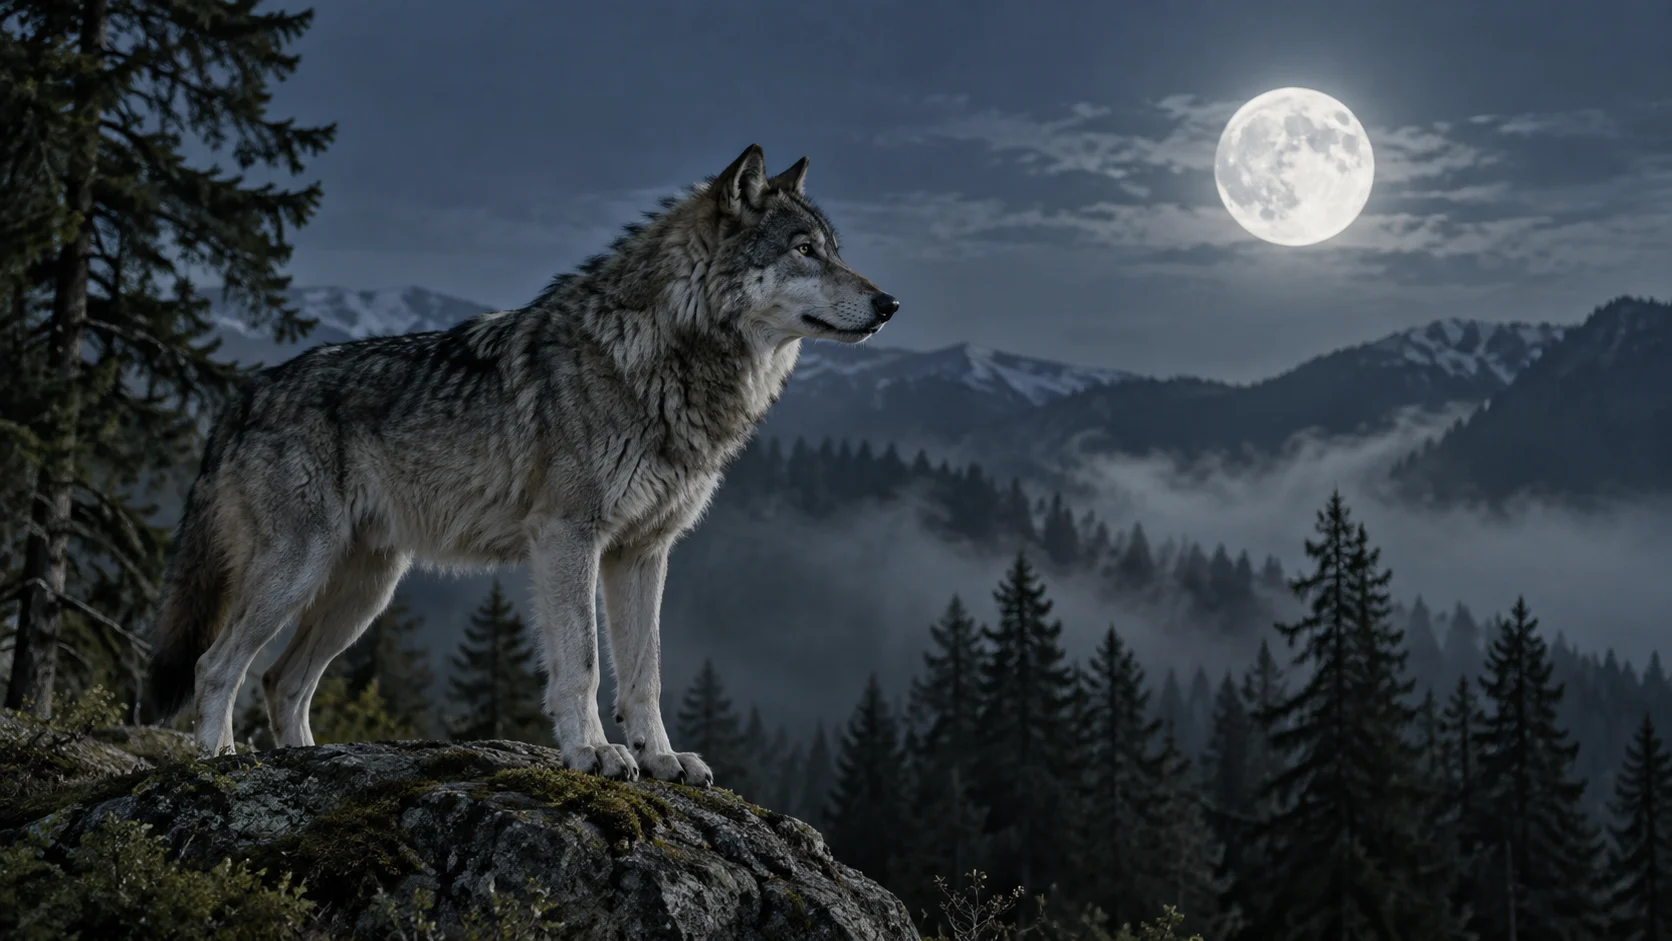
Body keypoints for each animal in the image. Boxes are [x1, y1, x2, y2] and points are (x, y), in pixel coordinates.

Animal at [142, 145, 899, 785]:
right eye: (805, 251)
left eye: (835, 251)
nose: (890, 302)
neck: (661, 357)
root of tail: (243, 394)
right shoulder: (569, 537)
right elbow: (584, 663)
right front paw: (594, 752)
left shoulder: (645, 551)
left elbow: (645, 672)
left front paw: (661, 758)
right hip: (300, 572)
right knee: (216, 666)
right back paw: (217, 762)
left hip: (363, 592)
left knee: (283, 681)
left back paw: (306, 763)